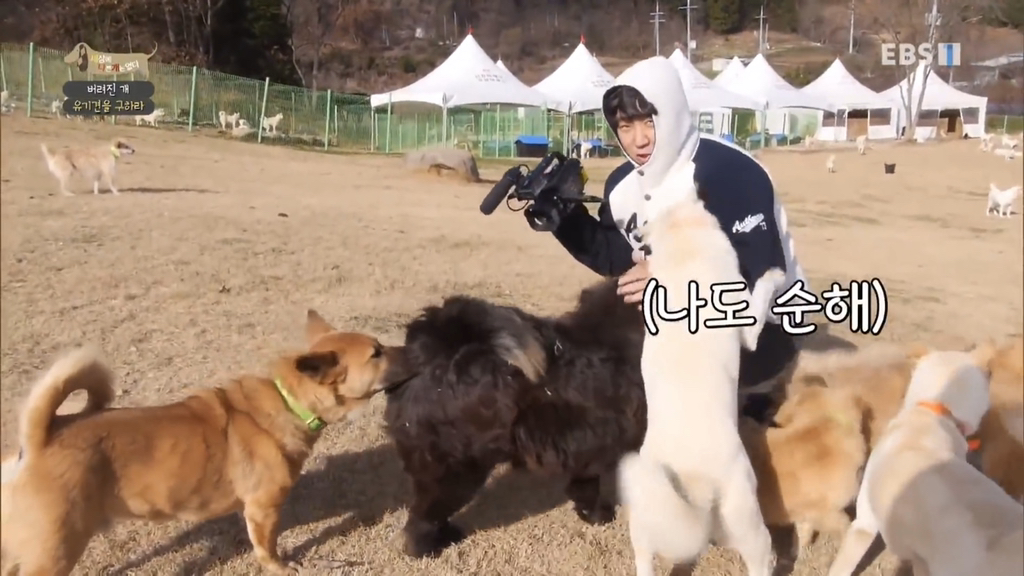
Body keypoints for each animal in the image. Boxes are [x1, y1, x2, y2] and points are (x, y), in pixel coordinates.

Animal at [0, 310, 416, 576]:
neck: (288, 400)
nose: (414, 348)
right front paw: (282, 567)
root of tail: (38, 440)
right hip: (55, 550)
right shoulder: (263, 509)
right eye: (376, 353)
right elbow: (268, 548)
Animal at [384, 279, 648, 558]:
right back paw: (428, 548)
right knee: (423, 518)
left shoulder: (587, 445)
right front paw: (601, 515)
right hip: (457, 471)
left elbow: (585, 484)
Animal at [618, 158, 786, 576]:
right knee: (760, 558)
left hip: (646, 516)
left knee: (645, 559)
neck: (681, 229)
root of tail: (693, 484)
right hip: (745, 509)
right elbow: (760, 297)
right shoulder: (746, 328)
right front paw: (773, 277)